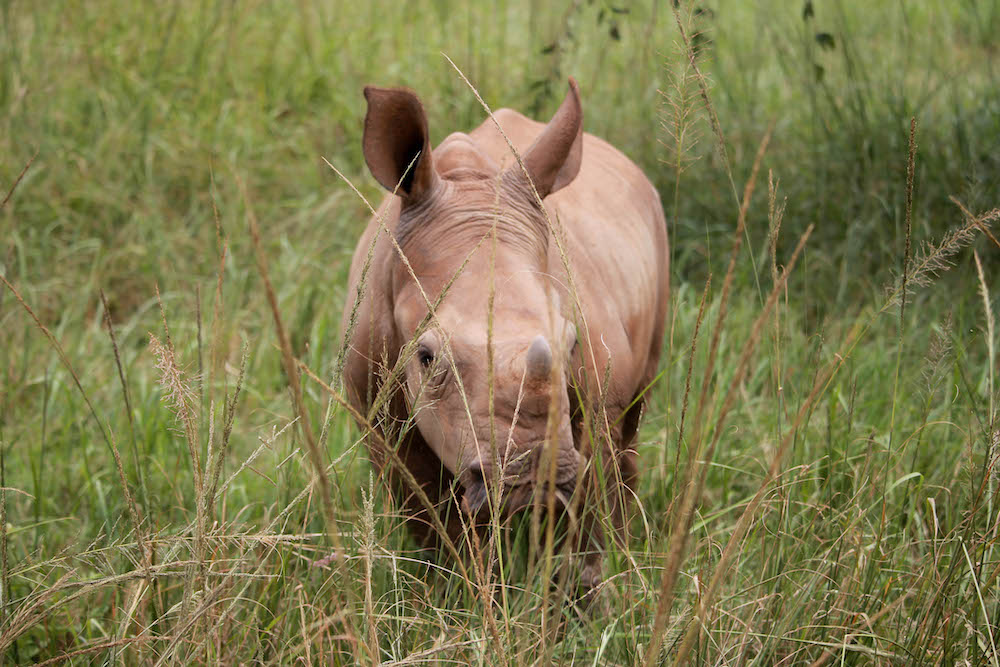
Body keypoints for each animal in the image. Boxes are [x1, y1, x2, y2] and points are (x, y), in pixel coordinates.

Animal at [340, 77, 668, 596]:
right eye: (426, 357)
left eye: (571, 344)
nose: (533, 475)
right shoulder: (376, 415)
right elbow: (432, 520)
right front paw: (460, 591)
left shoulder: (598, 402)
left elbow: (590, 510)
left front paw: (585, 590)